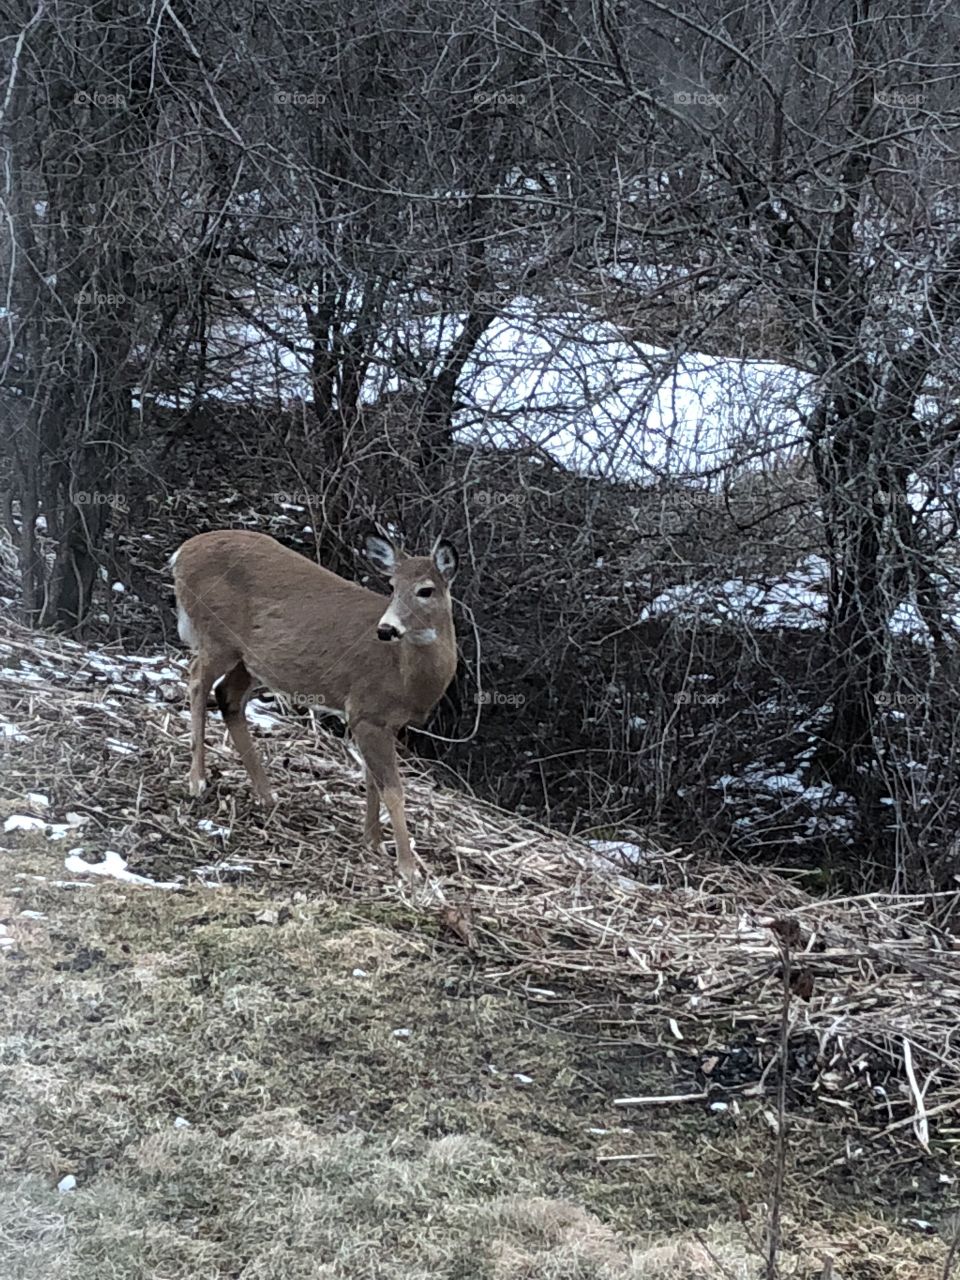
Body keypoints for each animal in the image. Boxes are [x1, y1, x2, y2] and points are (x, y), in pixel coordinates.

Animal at [170, 528, 459, 881]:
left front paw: (373, 842)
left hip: (250, 660)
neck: (405, 674)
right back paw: (197, 780)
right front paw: (408, 868)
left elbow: (372, 782)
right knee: (197, 679)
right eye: (392, 587)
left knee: (227, 696)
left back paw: (267, 795)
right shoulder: (367, 710)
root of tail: (181, 554)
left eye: (425, 590)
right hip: (217, 636)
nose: (386, 629)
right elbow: (392, 789)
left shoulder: (379, 721)